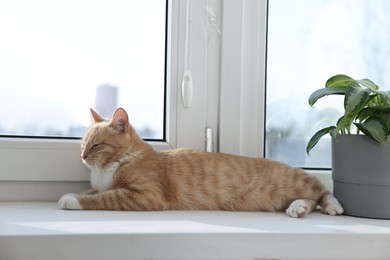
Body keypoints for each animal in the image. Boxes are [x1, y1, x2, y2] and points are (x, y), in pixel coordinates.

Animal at [58, 107, 344, 217]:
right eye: (83, 144)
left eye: (96, 145)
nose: (83, 156)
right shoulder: (104, 185)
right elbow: (93, 191)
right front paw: (72, 193)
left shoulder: (145, 196)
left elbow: (102, 198)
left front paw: (72, 200)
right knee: (310, 198)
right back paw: (299, 208)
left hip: (296, 182)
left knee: (320, 189)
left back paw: (331, 206)